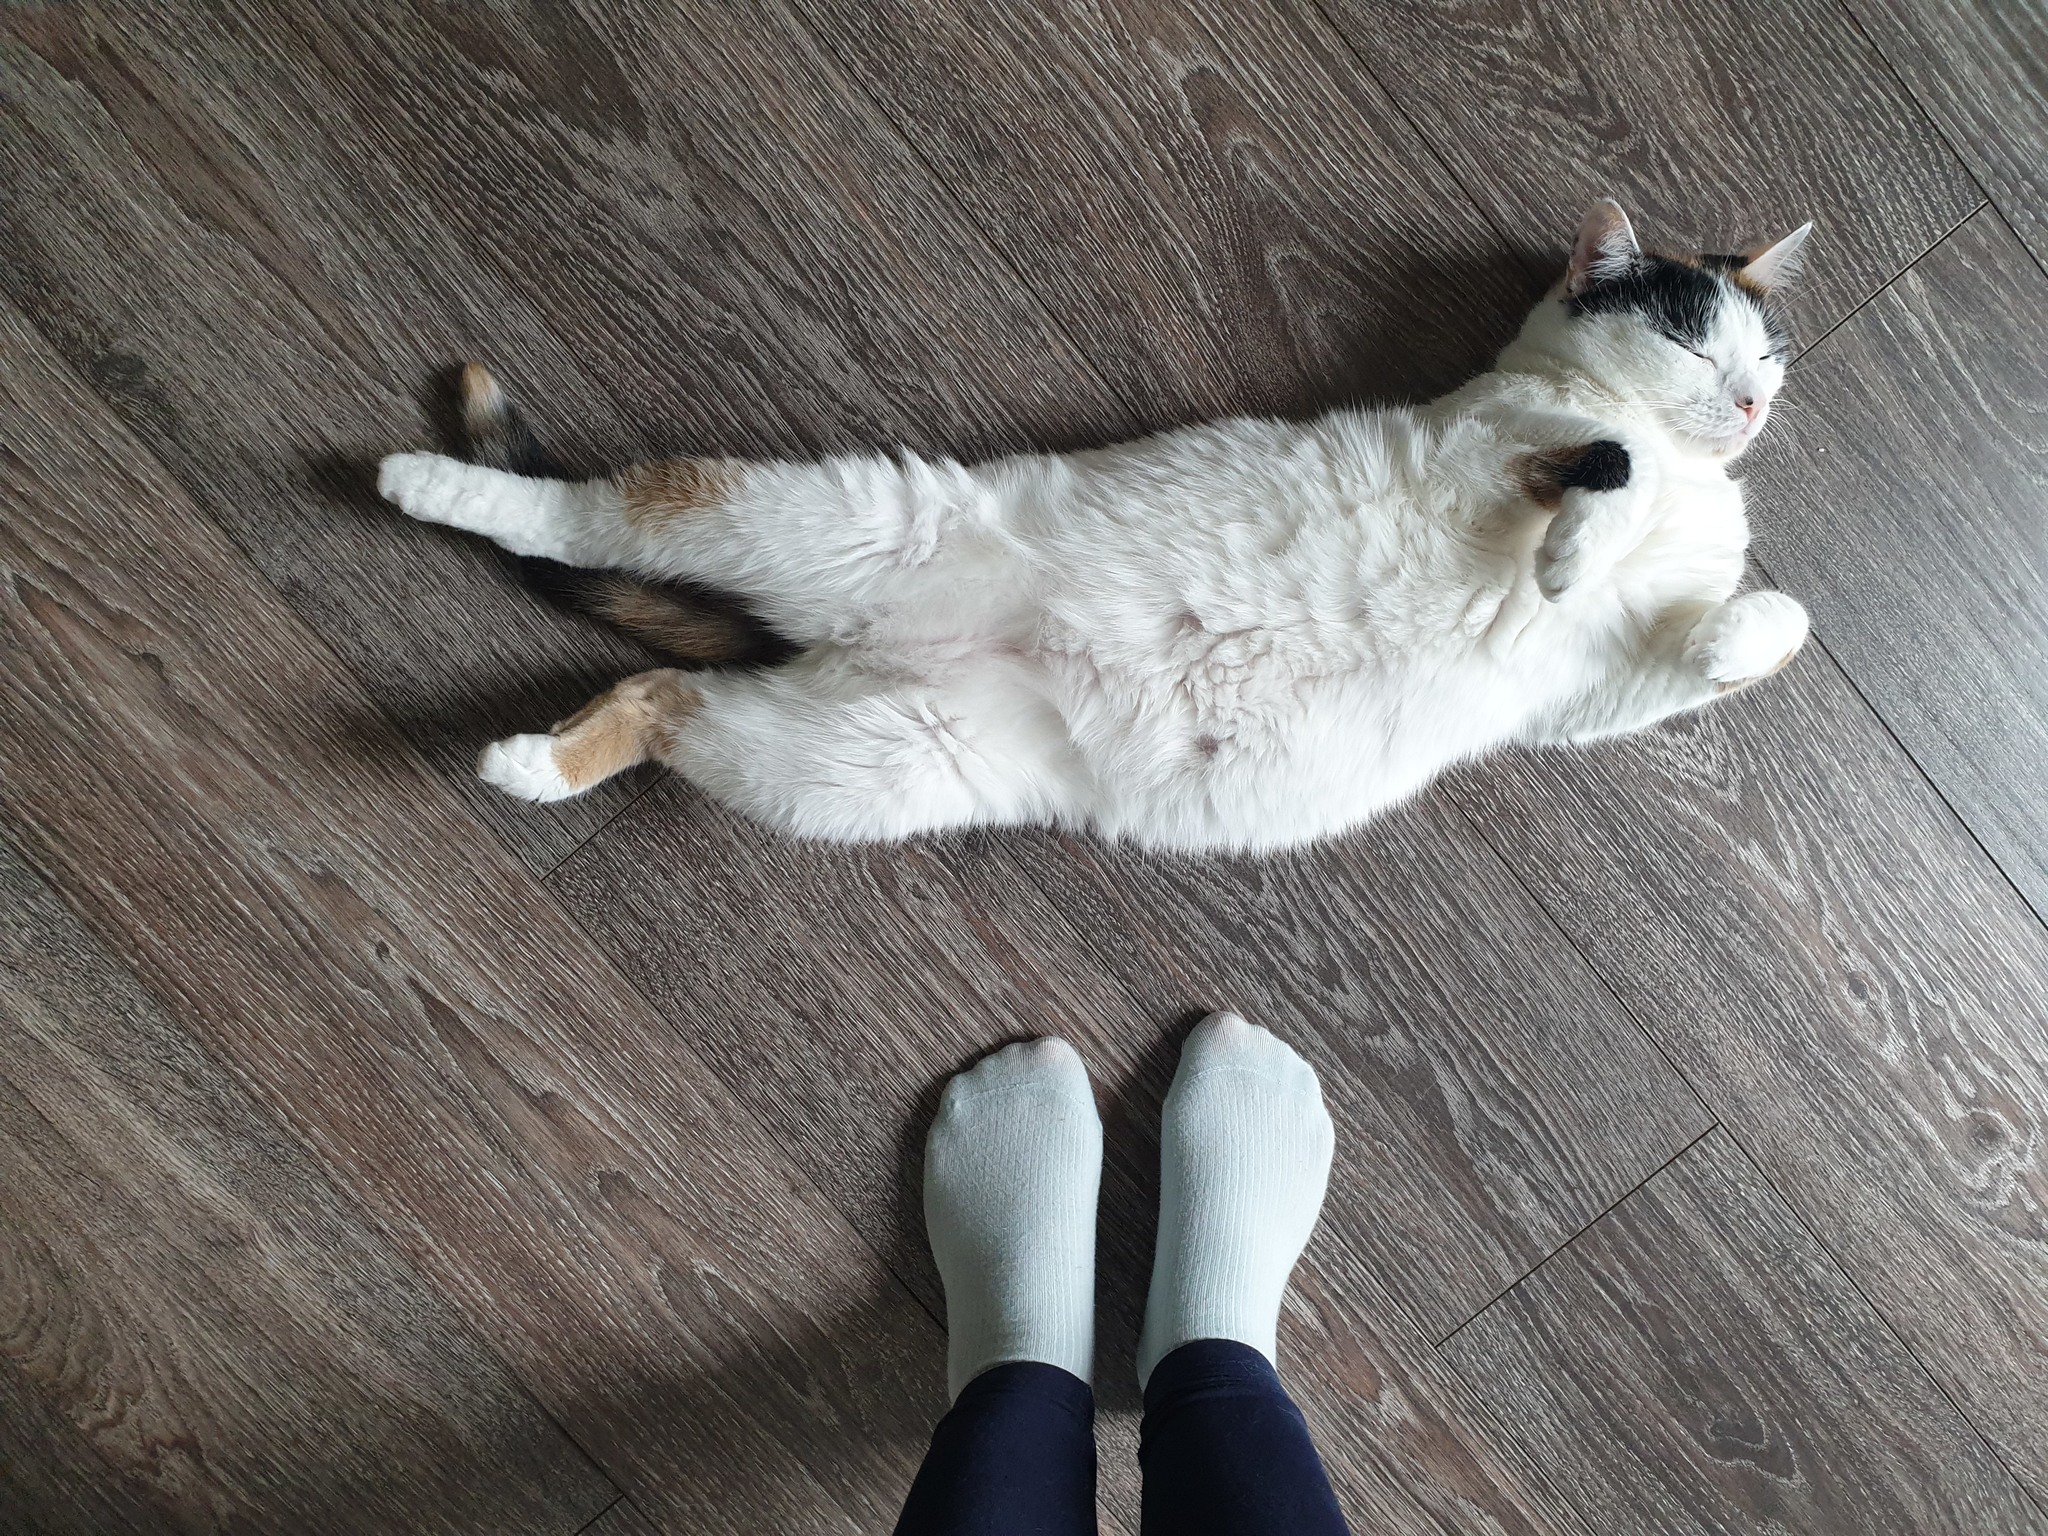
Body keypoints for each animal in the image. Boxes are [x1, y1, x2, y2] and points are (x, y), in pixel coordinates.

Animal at [380, 198, 1810, 856]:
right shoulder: (1486, 452)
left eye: (1765, 353)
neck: (1698, 480)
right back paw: (427, 486)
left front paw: (1726, 635)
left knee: (661, 695)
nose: (1749, 402)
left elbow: (1762, 624)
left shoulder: (1587, 691)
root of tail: (854, 649)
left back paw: (532, 765)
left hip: (862, 765)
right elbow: (1606, 466)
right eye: (1693, 337)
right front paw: (1574, 544)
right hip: (839, 517)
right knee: (592, 513)